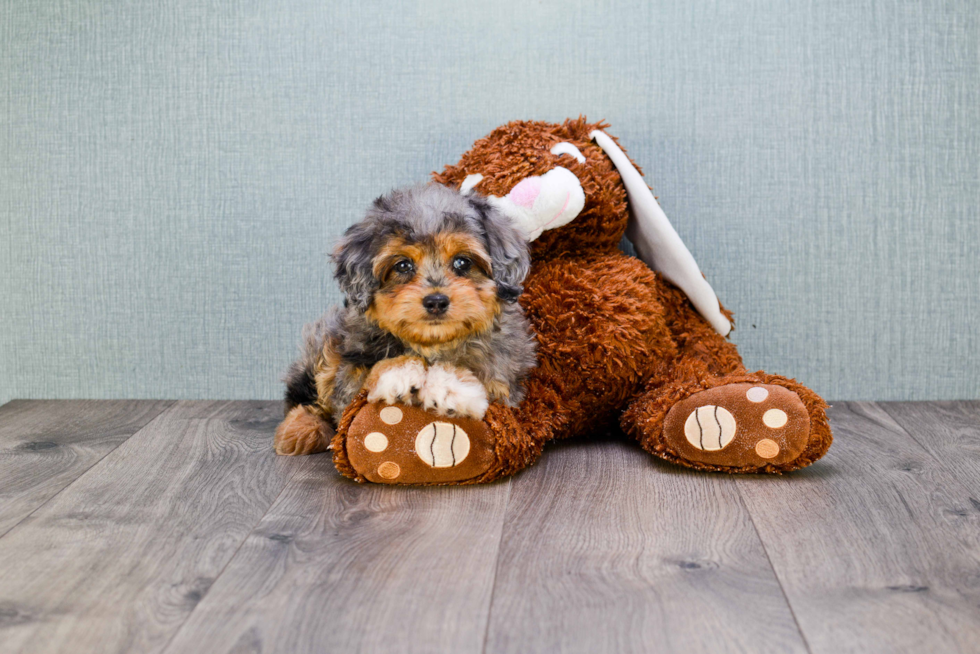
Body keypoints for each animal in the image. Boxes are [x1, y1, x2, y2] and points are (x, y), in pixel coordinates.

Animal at [274, 183, 536, 456]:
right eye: (402, 265)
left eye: (462, 262)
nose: (436, 301)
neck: (432, 343)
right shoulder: (349, 371)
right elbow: (366, 377)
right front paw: (401, 374)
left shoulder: (504, 384)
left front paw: (451, 388)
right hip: (324, 340)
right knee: (305, 396)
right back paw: (301, 430)